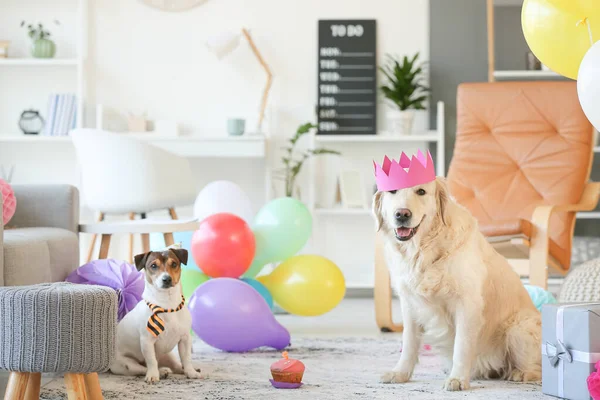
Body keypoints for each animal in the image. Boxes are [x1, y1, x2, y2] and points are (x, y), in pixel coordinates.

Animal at [108, 248, 202, 382]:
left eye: (174, 264)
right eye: (153, 266)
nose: (166, 279)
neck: (167, 306)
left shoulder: (185, 339)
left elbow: (186, 358)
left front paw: (191, 372)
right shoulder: (147, 341)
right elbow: (151, 361)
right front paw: (153, 375)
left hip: (167, 355)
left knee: (176, 366)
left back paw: (185, 369)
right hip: (127, 365)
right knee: (144, 368)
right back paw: (161, 372)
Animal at [372, 177, 540, 390]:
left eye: (421, 191)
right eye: (392, 191)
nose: (402, 214)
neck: (423, 251)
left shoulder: (467, 304)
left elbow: (462, 345)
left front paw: (457, 379)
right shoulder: (410, 303)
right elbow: (409, 342)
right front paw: (400, 373)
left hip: (519, 327)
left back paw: (520, 373)